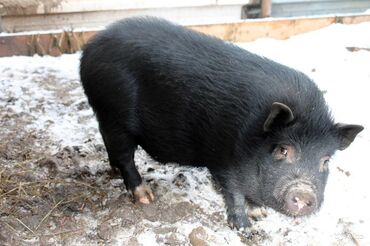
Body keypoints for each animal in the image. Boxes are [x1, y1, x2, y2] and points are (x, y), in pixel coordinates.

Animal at [79, 16, 362, 229]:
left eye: (325, 161)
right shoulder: (224, 161)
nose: (304, 193)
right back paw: (145, 197)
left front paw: (260, 214)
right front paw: (244, 227)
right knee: (125, 156)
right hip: (114, 114)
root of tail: (89, 49)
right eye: (282, 149)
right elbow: (233, 193)